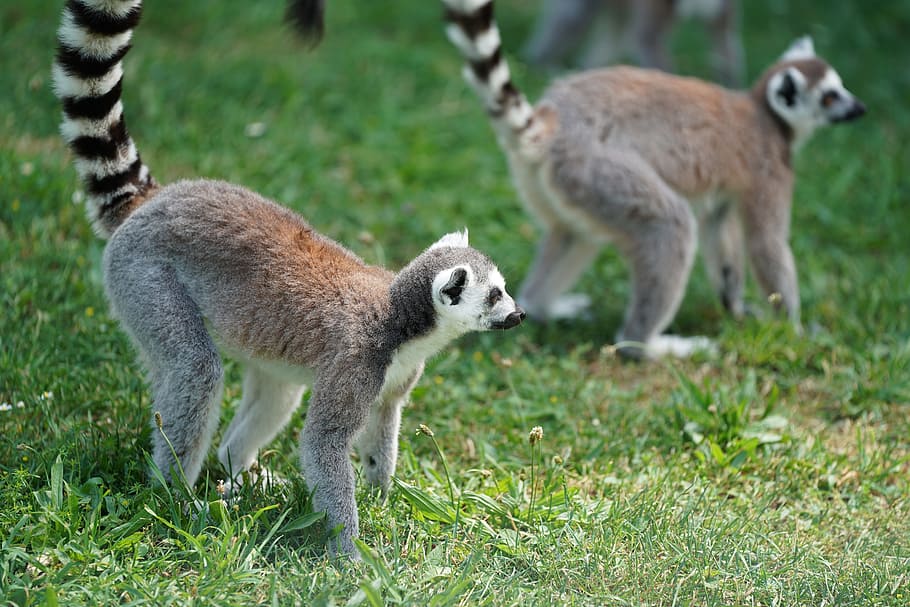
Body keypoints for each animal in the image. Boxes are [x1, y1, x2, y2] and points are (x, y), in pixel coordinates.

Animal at [52, 0, 525, 557]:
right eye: (493, 294)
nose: (519, 313)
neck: (406, 323)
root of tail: (154, 200)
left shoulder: (394, 379)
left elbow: (383, 425)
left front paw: (383, 497)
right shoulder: (357, 360)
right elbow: (324, 444)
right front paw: (350, 554)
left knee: (275, 394)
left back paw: (237, 477)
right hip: (143, 277)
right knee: (195, 369)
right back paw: (174, 497)